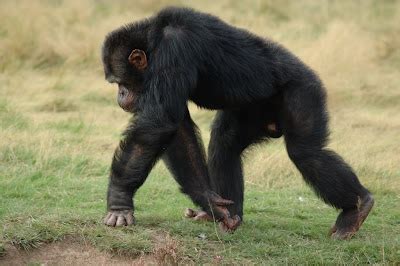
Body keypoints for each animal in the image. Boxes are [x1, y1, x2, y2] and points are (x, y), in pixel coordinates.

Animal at [101, 6, 374, 239]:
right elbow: (176, 128)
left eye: (119, 81)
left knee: (307, 153)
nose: (120, 94)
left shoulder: (174, 51)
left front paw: (119, 202)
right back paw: (228, 216)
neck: (154, 42)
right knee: (225, 143)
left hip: (304, 90)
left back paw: (356, 209)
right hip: (253, 111)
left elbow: (160, 121)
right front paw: (209, 200)